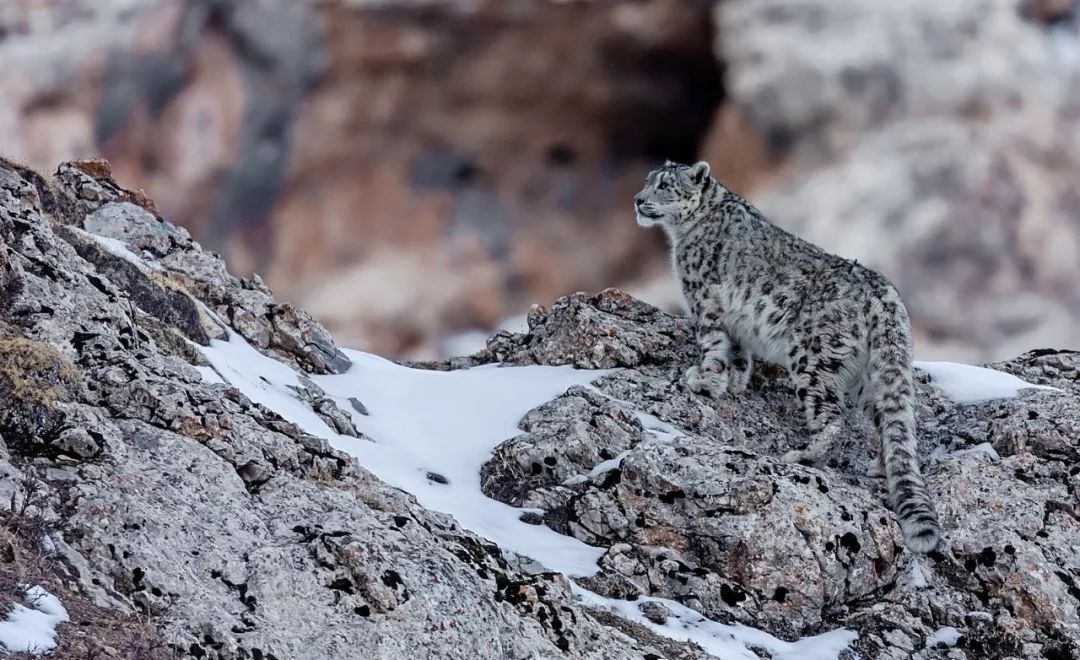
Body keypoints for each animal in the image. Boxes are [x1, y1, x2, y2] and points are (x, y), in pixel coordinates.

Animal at [635, 159, 941, 553]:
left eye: (665, 186)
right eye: (647, 181)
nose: (638, 200)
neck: (683, 233)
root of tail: (883, 292)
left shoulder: (704, 299)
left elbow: (712, 344)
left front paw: (704, 381)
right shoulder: (736, 324)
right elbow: (738, 354)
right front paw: (734, 383)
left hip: (813, 359)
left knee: (833, 417)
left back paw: (804, 456)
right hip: (867, 375)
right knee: (887, 417)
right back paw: (880, 466)